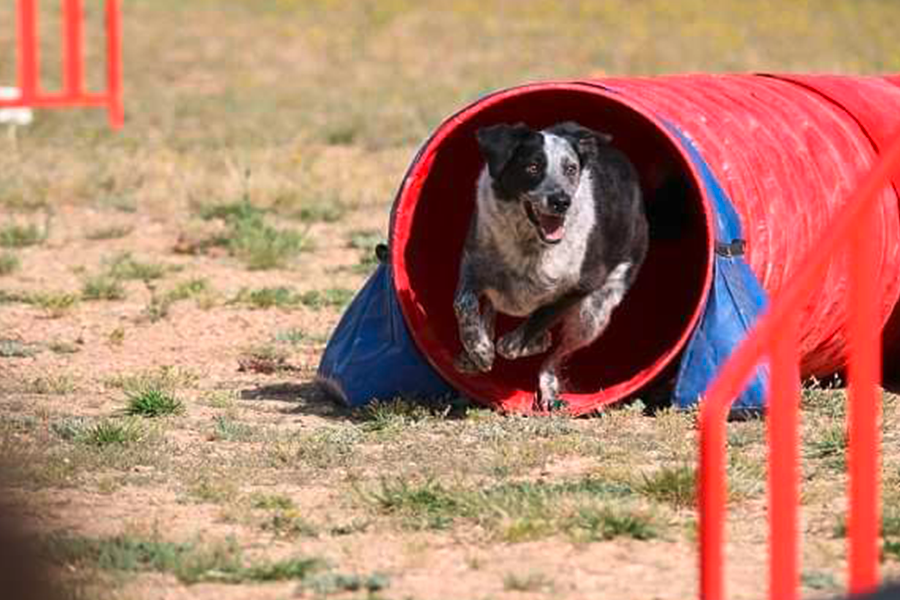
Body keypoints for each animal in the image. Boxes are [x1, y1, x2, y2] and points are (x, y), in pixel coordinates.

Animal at [454, 119, 652, 410]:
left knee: (559, 353)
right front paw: (478, 350)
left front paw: (526, 342)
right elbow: (464, 304)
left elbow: (531, 328)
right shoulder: (474, 265)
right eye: (532, 167)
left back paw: (547, 384)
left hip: (594, 312)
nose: (561, 201)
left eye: (571, 169)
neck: (529, 245)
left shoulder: (582, 285)